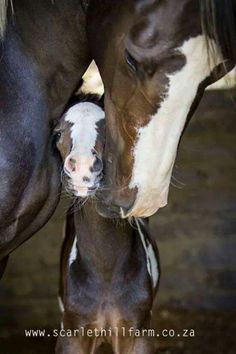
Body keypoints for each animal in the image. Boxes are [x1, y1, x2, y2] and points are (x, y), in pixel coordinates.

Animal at [54, 95, 159, 352]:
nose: (82, 170)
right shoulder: (73, 334)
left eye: (108, 131)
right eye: (58, 133)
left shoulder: (137, 333)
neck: (105, 271)